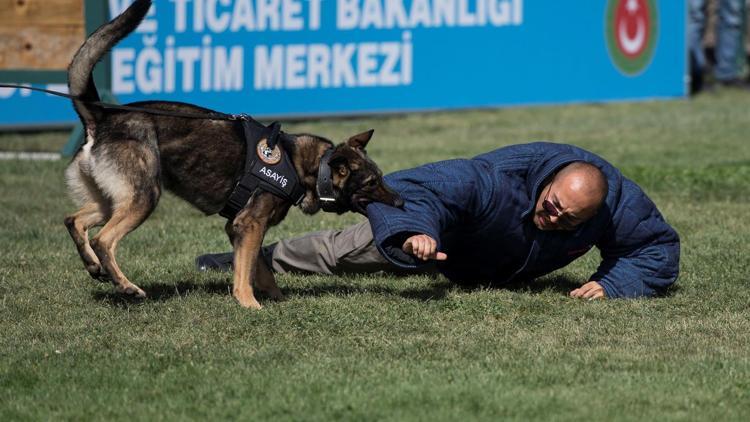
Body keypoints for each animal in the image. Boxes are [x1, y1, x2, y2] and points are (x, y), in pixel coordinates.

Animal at [64, 0, 406, 310]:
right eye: (372, 182)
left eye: (380, 178)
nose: (402, 202)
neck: (303, 163)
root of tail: (101, 116)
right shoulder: (250, 224)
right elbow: (246, 271)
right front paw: (249, 304)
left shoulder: (237, 227)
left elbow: (260, 268)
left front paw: (276, 299)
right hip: (144, 197)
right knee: (103, 239)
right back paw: (125, 285)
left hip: (114, 198)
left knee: (74, 220)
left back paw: (94, 266)